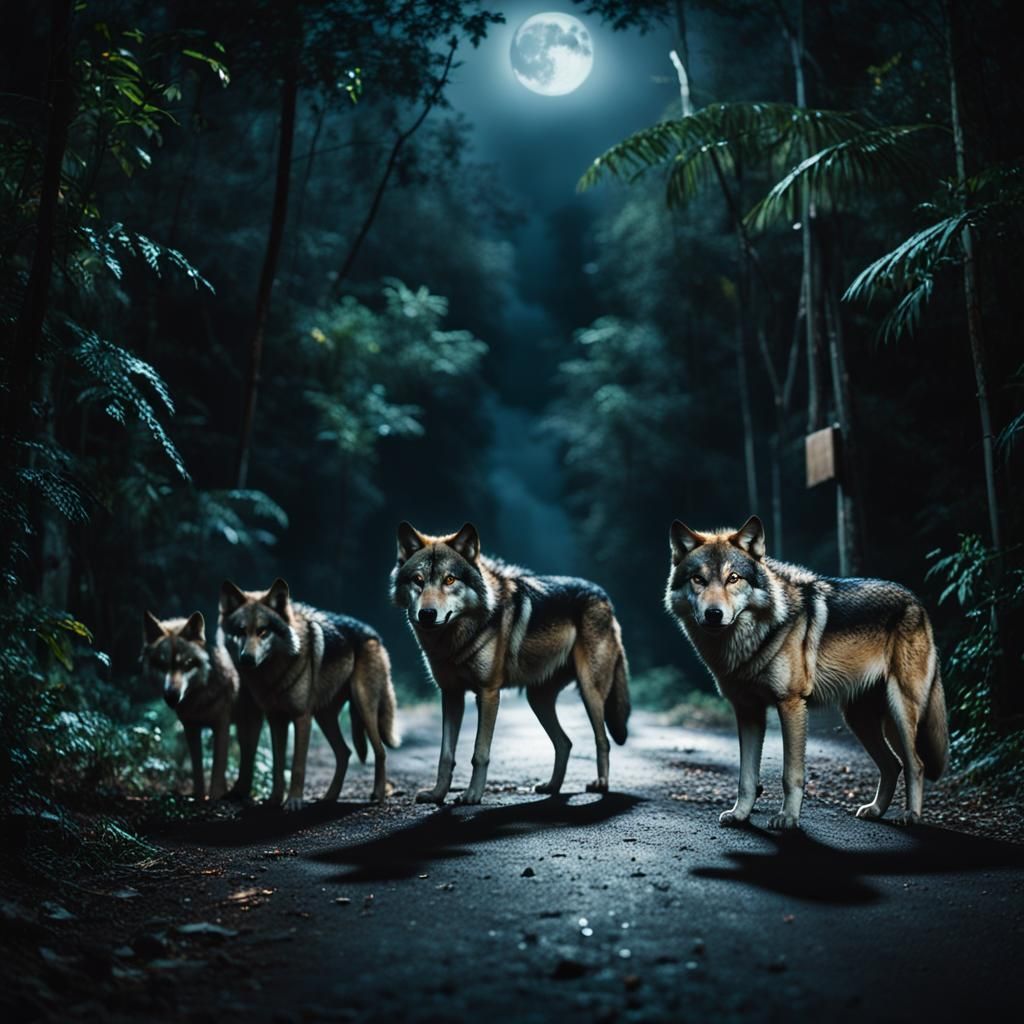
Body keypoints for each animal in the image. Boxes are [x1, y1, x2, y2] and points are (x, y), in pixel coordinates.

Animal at [141, 611, 262, 801]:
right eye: (162, 665)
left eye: (187, 664)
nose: (172, 696)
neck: (199, 698)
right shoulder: (190, 727)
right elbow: (197, 768)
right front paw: (198, 797)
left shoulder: (222, 725)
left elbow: (218, 766)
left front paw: (215, 796)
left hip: (249, 723)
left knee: (248, 755)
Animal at [219, 579, 398, 810]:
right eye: (240, 631)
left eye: (263, 631)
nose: (246, 659)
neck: (273, 674)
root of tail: (374, 634)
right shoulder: (276, 720)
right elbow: (278, 766)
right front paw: (274, 800)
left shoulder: (301, 718)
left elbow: (297, 765)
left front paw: (293, 802)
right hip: (325, 717)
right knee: (344, 752)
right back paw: (329, 797)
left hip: (363, 708)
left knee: (380, 751)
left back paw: (378, 794)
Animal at [390, 522, 631, 805]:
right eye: (418, 580)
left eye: (449, 580)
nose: (427, 614)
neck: (454, 641)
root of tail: (604, 596)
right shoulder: (451, 695)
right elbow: (445, 755)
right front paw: (437, 794)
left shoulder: (487, 693)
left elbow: (479, 752)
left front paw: (472, 795)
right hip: (537, 699)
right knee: (565, 742)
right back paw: (551, 786)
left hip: (590, 692)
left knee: (602, 740)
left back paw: (601, 784)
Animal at [664, 515, 948, 829]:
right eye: (698, 579)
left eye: (733, 578)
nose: (714, 614)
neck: (754, 639)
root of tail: (916, 601)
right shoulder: (748, 711)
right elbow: (746, 776)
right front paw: (740, 815)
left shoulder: (791, 703)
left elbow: (791, 774)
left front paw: (788, 818)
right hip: (859, 719)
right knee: (892, 764)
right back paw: (875, 810)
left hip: (901, 709)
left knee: (916, 764)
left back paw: (911, 815)